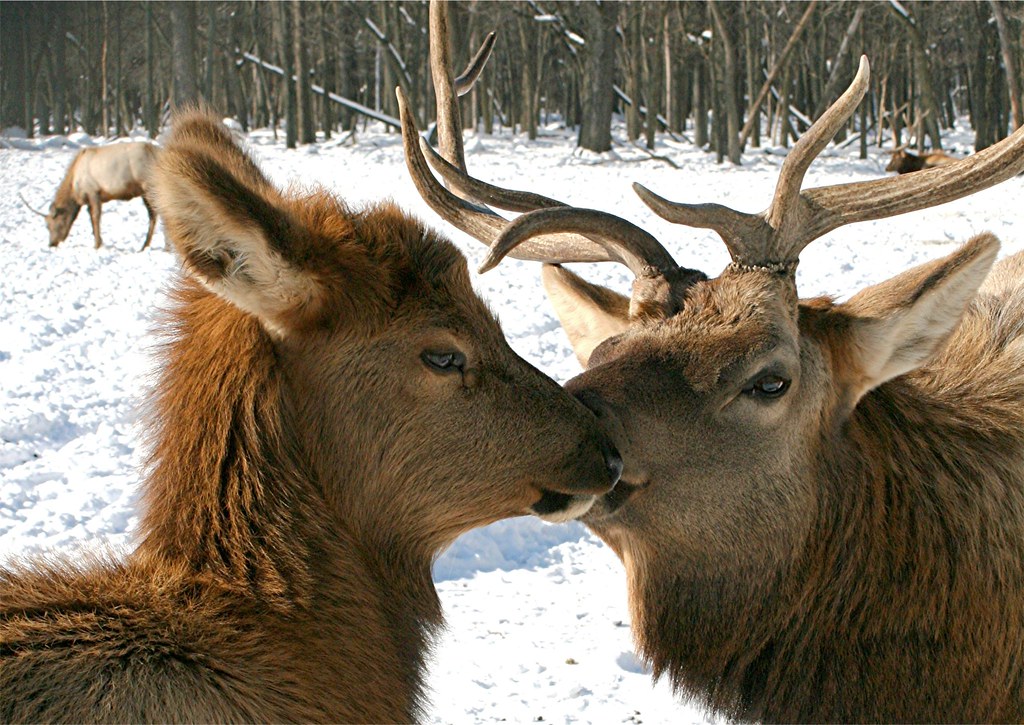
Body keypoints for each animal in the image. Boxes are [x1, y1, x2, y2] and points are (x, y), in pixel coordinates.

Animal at [20, 141, 160, 251]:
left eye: (50, 225)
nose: (51, 244)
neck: (74, 188)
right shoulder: (88, 200)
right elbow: (91, 220)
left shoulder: (94, 192)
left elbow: (95, 217)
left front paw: (97, 244)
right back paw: (145, 246)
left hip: (148, 186)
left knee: (156, 213)